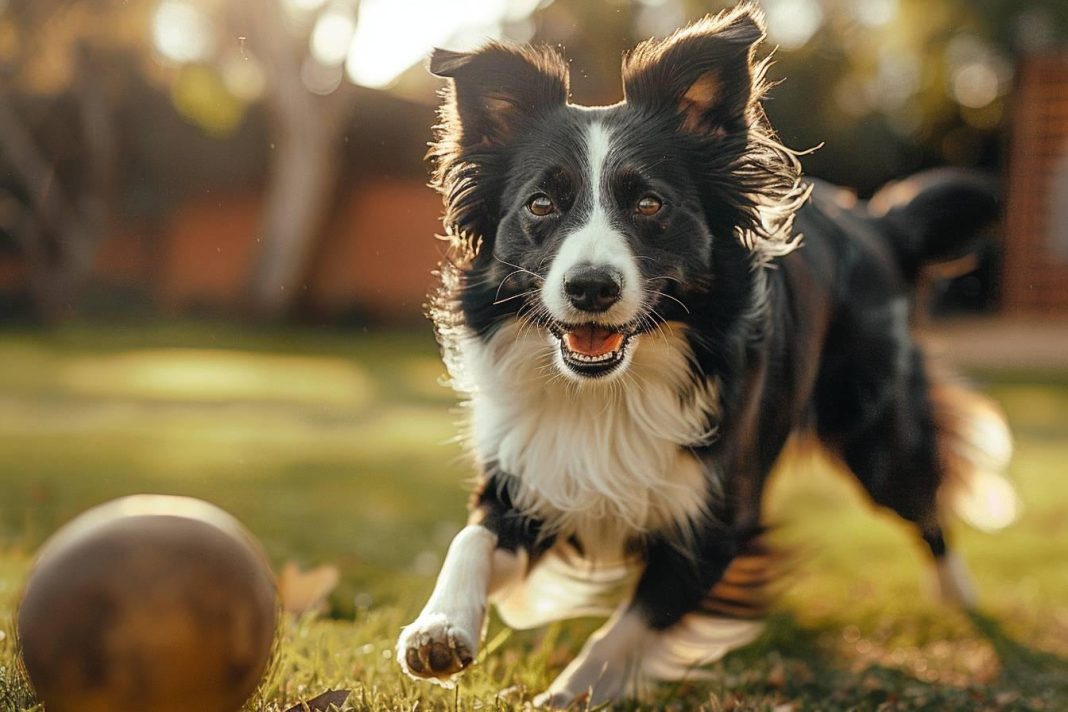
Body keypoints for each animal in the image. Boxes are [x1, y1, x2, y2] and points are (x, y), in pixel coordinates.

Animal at [397, 2, 1012, 708]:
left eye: (650, 203)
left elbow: (632, 624)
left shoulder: (713, 518)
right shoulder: (534, 472)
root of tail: (876, 219)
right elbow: (470, 537)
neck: (612, 389)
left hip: (875, 429)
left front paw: (571, 692)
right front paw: (438, 629)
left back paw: (959, 593)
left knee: (923, 500)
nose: (590, 288)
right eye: (541, 204)